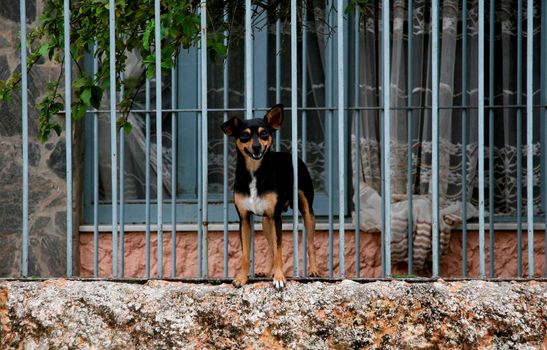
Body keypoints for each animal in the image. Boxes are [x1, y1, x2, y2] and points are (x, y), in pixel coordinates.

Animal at [220, 104, 318, 290]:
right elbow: (246, 254)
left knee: (309, 243)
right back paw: (266, 271)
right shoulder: (245, 219)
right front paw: (242, 278)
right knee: (271, 246)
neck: (254, 172)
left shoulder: (276, 217)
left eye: (264, 133)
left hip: (306, 212)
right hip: (266, 221)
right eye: (244, 135)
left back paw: (313, 270)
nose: (257, 147)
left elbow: (280, 249)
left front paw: (279, 277)